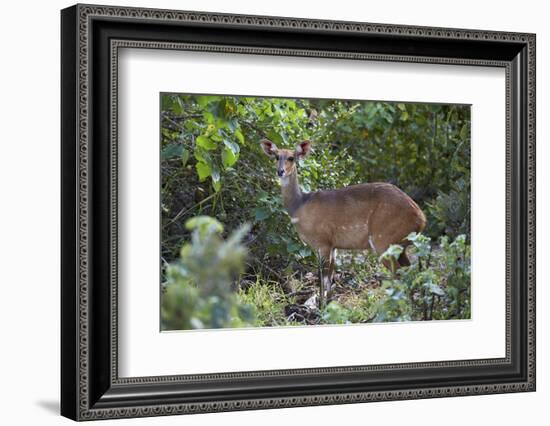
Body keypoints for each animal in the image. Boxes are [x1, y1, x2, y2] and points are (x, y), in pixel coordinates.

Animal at [260, 140, 430, 306]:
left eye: (291, 158)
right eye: (276, 157)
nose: (280, 171)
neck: (300, 206)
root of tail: (421, 218)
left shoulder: (323, 243)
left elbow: (323, 278)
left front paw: (321, 308)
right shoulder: (333, 246)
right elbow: (330, 279)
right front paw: (328, 305)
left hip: (383, 241)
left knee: (399, 275)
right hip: (400, 246)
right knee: (411, 272)